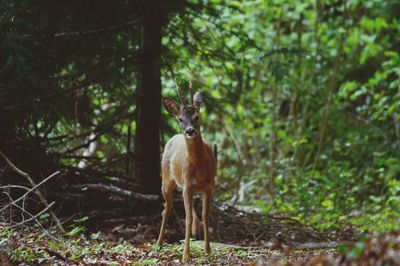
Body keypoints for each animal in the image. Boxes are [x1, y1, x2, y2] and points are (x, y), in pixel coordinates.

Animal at [156, 81, 217, 262]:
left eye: (197, 117)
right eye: (180, 119)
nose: (190, 131)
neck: (200, 167)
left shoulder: (209, 186)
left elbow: (205, 216)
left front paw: (207, 250)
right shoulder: (187, 186)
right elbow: (188, 218)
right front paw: (186, 256)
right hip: (167, 180)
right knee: (166, 209)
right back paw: (158, 244)